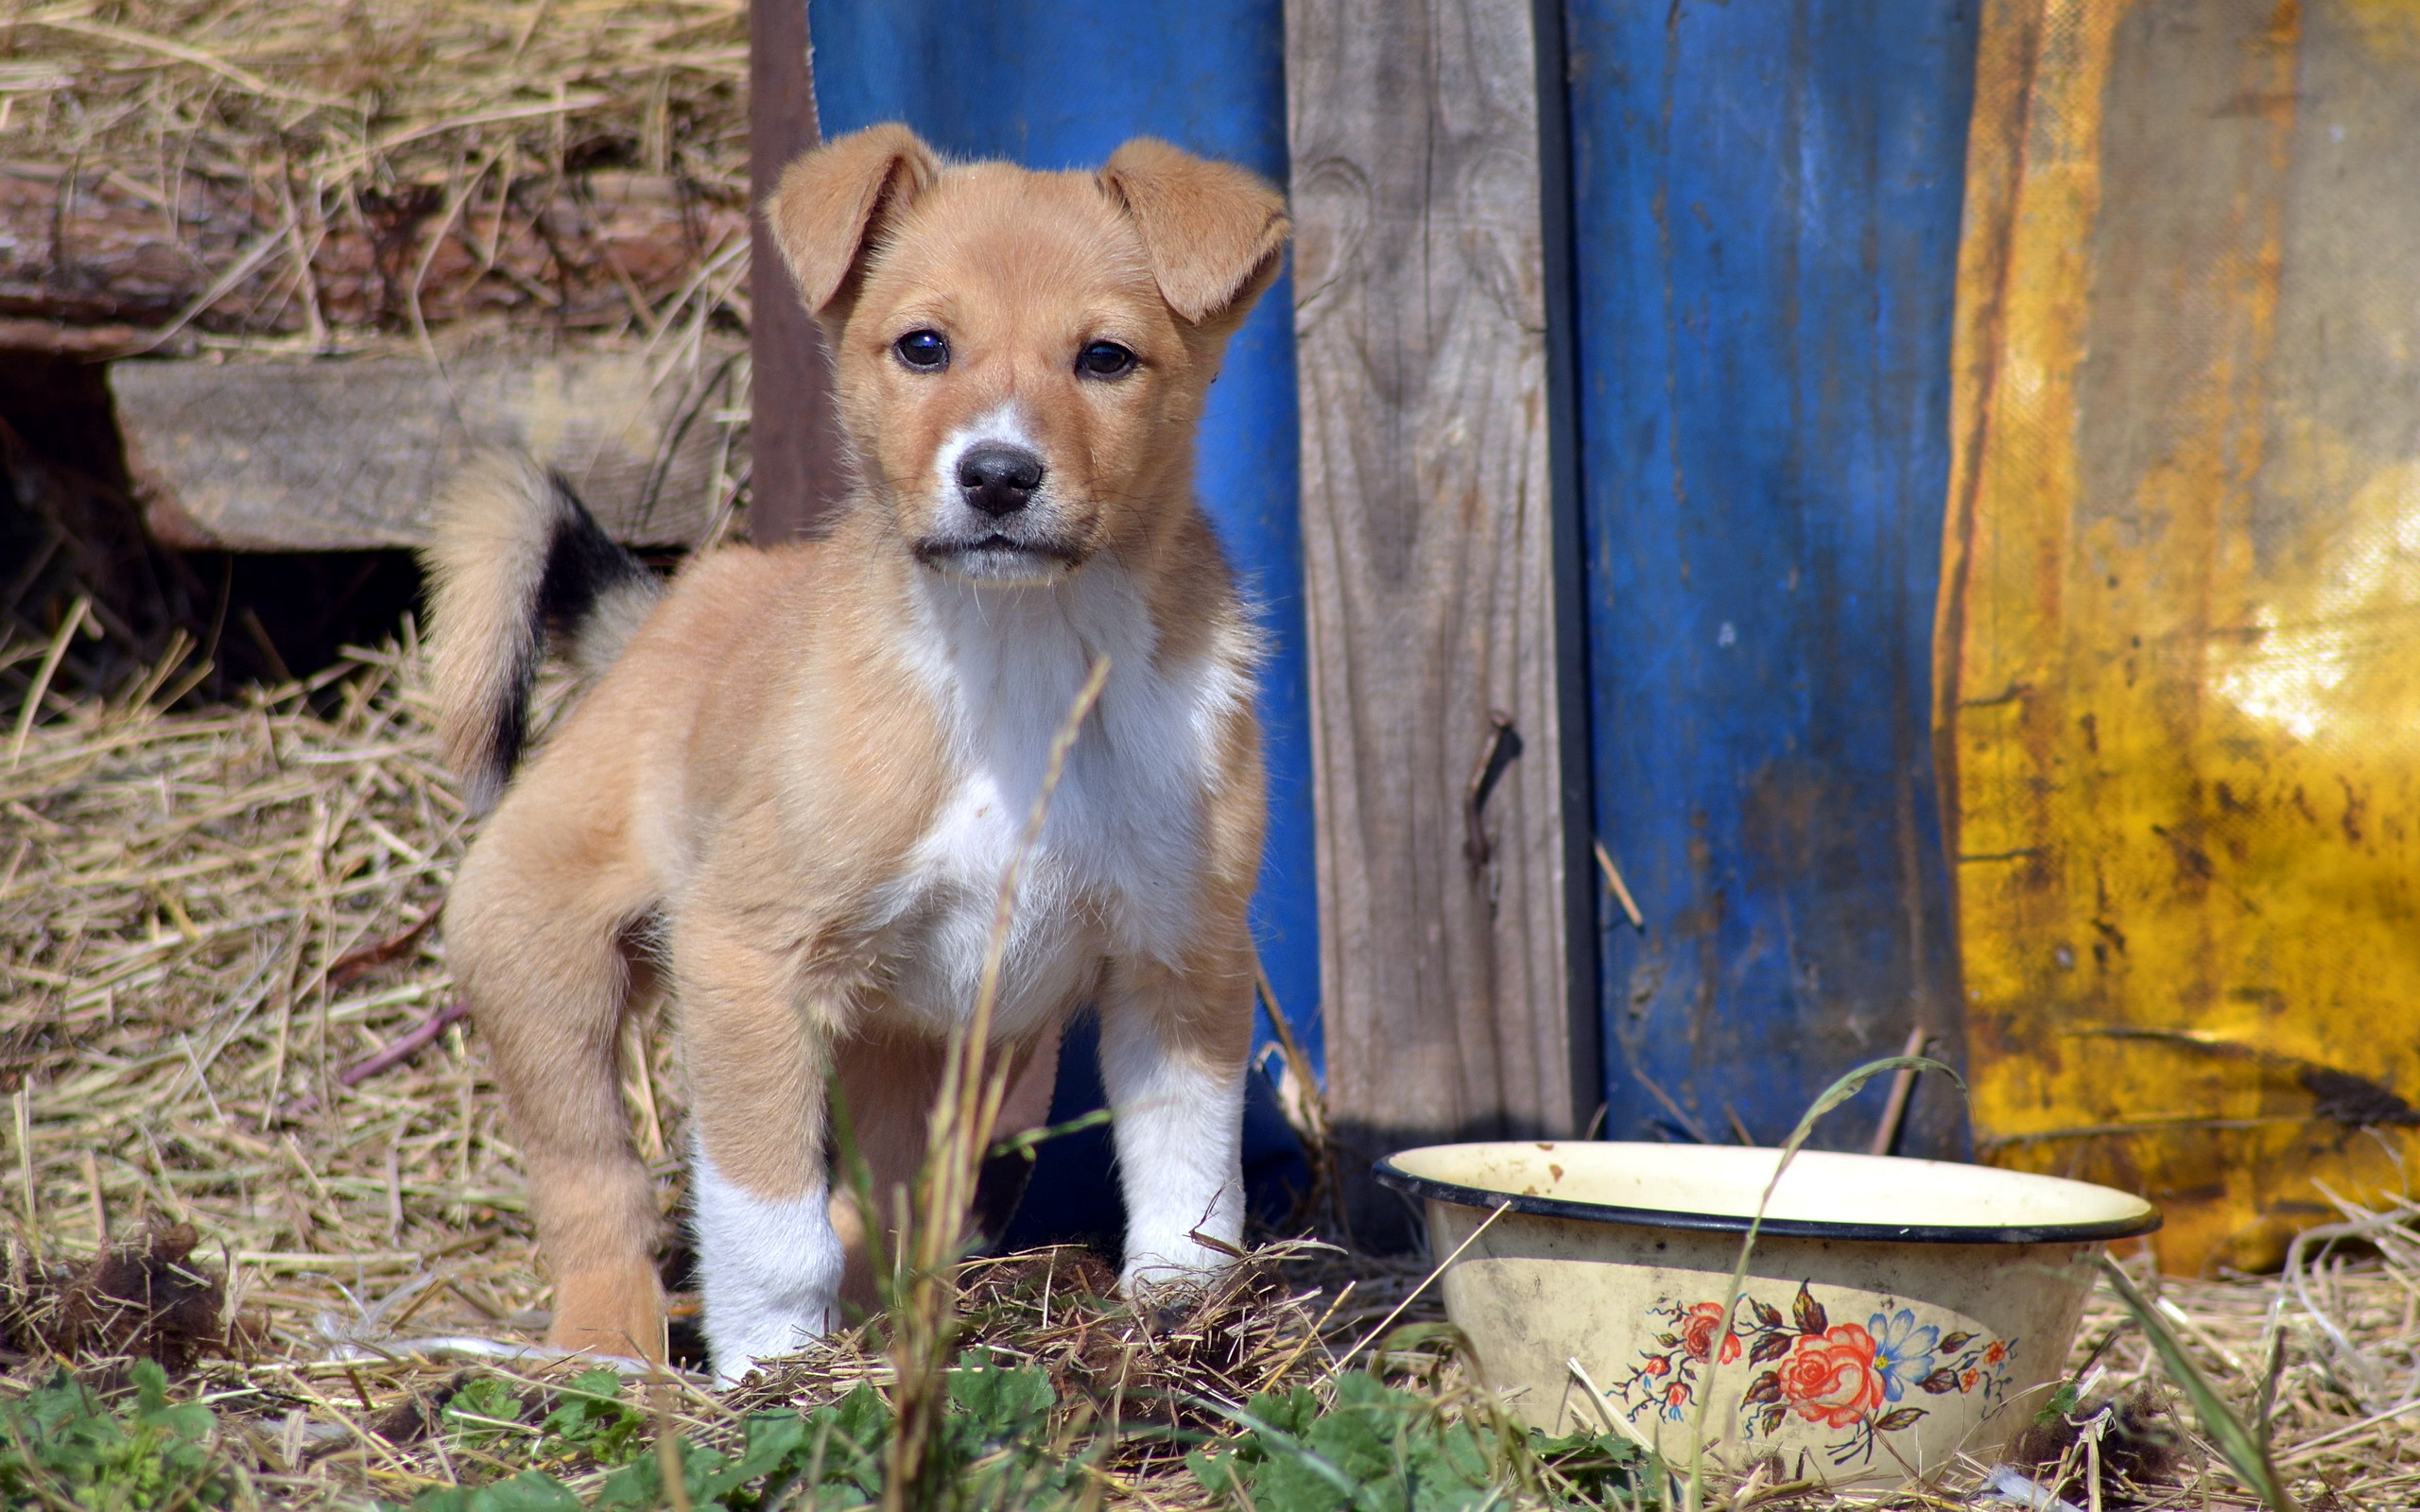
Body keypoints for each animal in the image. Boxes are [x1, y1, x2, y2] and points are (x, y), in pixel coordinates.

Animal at [421, 127, 1287, 1383]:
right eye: (923, 346)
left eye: (1106, 358)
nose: (997, 475)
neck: (1016, 655)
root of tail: (674, 607)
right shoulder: (746, 959)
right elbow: (768, 1224)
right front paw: (775, 1374)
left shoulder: (1181, 965)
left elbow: (1188, 1180)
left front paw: (1176, 1316)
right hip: (539, 963)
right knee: (597, 1190)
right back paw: (608, 1353)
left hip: (937, 1061)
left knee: (881, 1204)